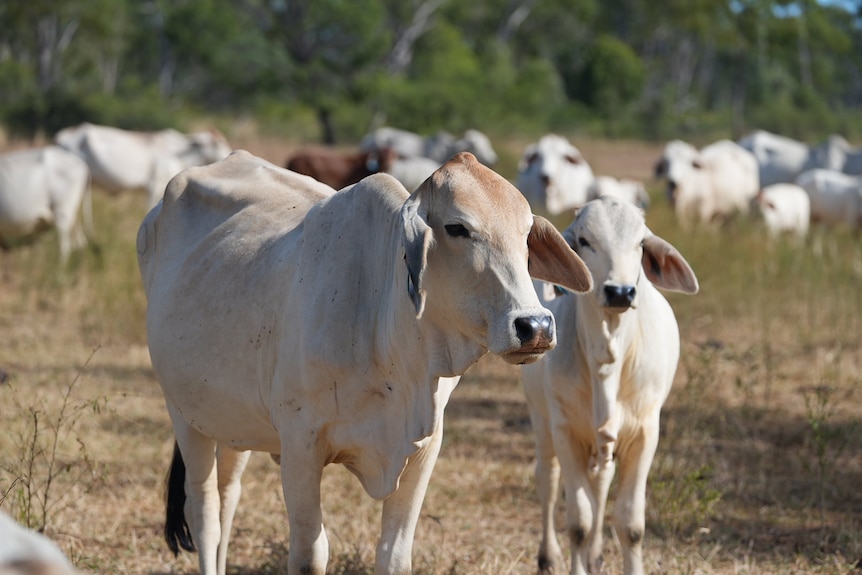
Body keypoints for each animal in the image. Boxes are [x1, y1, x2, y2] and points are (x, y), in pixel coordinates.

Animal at [520, 198, 704, 575]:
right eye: (584, 240)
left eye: (640, 244)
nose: (619, 291)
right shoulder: (565, 431)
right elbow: (579, 521)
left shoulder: (645, 433)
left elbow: (630, 525)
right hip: (540, 417)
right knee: (547, 479)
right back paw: (548, 556)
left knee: (601, 483)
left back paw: (596, 554)